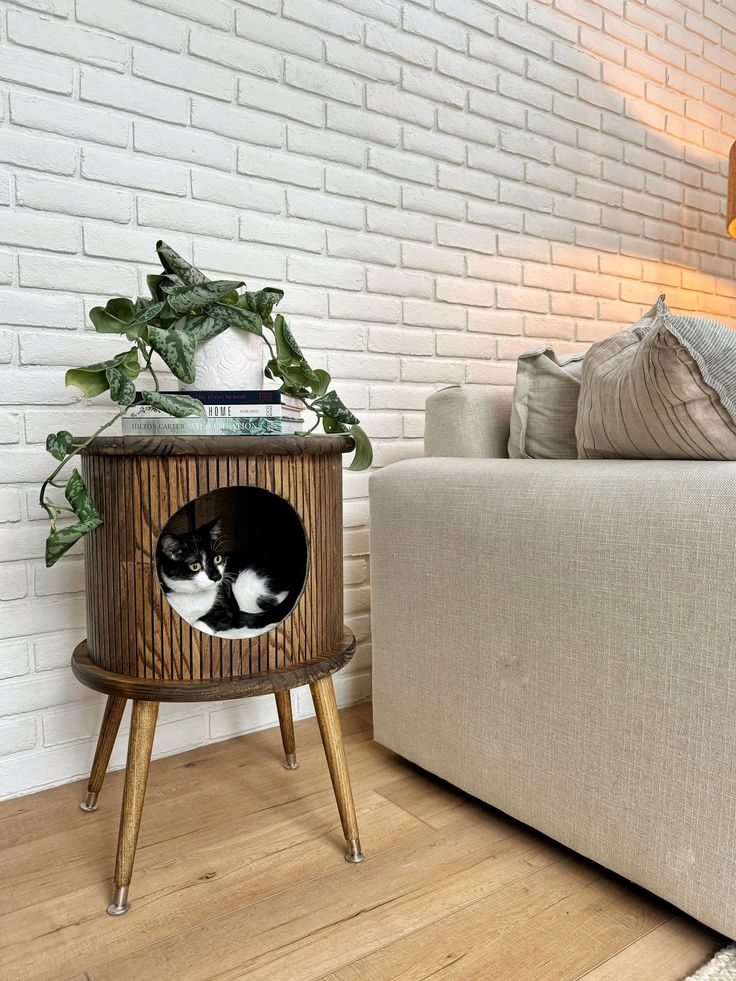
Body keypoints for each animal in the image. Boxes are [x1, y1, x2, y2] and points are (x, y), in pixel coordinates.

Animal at [157, 516, 300, 640]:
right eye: (195, 566)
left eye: (217, 559)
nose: (217, 576)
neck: (193, 595)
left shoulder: (227, 606)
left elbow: (210, 619)